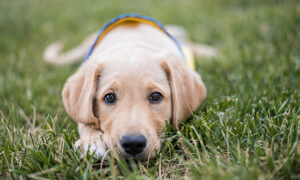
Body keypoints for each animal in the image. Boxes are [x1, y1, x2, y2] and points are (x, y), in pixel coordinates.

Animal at [45, 14, 212, 160]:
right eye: (109, 97)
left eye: (156, 96)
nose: (133, 144)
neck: (132, 40)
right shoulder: (83, 109)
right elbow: (86, 120)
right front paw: (91, 142)